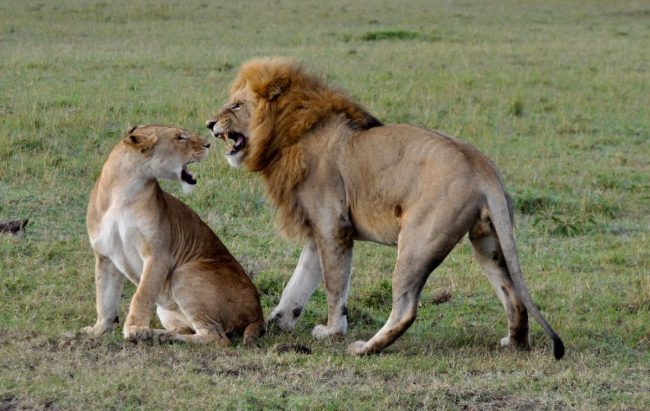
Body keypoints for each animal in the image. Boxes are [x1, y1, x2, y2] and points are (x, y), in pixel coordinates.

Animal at [83, 125, 264, 346]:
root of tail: (258, 313)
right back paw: (159, 334)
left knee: (216, 337)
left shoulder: (158, 254)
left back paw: (163, 336)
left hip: (185, 273)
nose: (208, 144)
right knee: (190, 329)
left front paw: (135, 328)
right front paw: (98, 329)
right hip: (168, 307)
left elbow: (142, 294)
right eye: (179, 138)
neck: (123, 191)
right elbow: (104, 298)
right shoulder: (105, 255)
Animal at [206, 58, 565, 359]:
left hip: (417, 242)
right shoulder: (317, 229)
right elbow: (300, 281)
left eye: (236, 105)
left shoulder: (333, 225)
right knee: (514, 297)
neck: (286, 135)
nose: (209, 123)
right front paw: (276, 321)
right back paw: (515, 343)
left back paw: (364, 348)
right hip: (488, 243)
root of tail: (482, 167)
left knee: (406, 309)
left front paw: (333, 331)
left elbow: (334, 284)